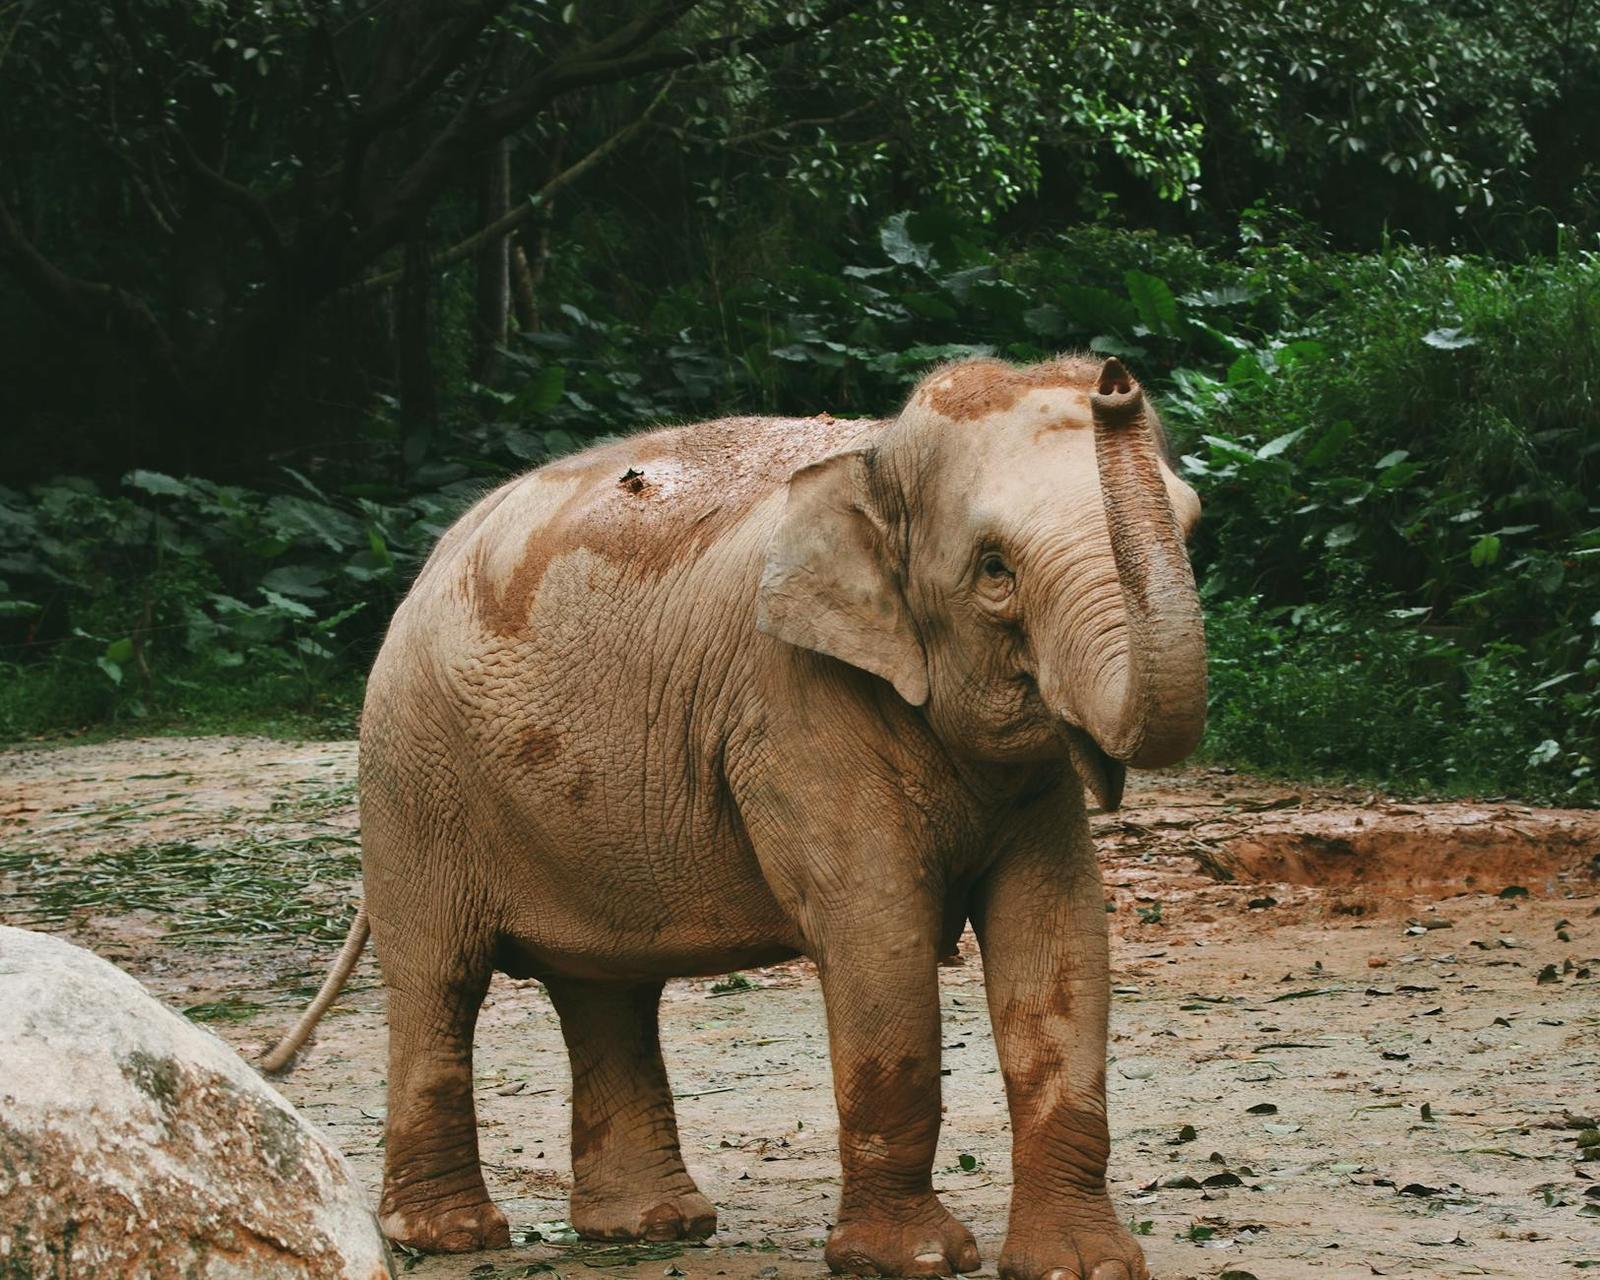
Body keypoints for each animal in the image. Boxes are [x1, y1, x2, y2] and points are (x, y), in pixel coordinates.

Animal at [264, 354, 1206, 1280]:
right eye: (995, 570)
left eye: (1192, 529)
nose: (1115, 379)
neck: (875, 454)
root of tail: (432, 559)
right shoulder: (790, 705)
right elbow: (877, 930)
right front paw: (912, 1261)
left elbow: (1059, 935)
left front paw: (1082, 1267)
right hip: (412, 777)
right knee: (440, 978)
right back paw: (454, 1237)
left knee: (604, 988)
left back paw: (650, 1228)